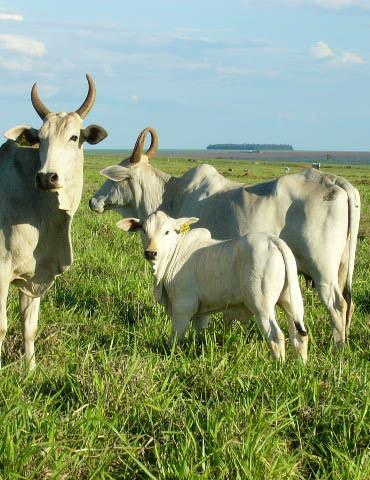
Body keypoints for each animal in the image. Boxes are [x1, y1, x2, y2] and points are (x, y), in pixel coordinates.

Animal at [0, 75, 107, 370]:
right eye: (40, 139)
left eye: (74, 137)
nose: (47, 177)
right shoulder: (1, 271)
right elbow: (1, 327)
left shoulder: (34, 275)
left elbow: (29, 326)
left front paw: (30, 370)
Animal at [89, 127, 362, 344]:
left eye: (116, 177)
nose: (93, 201)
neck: (171, 194)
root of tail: (335, 181)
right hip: (339, 269)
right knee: (348, 305)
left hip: (323, 270)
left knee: (338, 305)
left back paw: (337, 348)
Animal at [117, 212, 308, 362]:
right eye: (143, 230)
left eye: (166, 231)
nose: (150, 253)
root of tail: (274, 241)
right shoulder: (201, 313)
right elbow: (201, 335)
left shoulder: (182, 307)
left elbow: (175, 339)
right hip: (290, 301)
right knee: (299, 335)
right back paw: (300, 365)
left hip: (262, 306)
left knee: (277, 336)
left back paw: (279, 366)